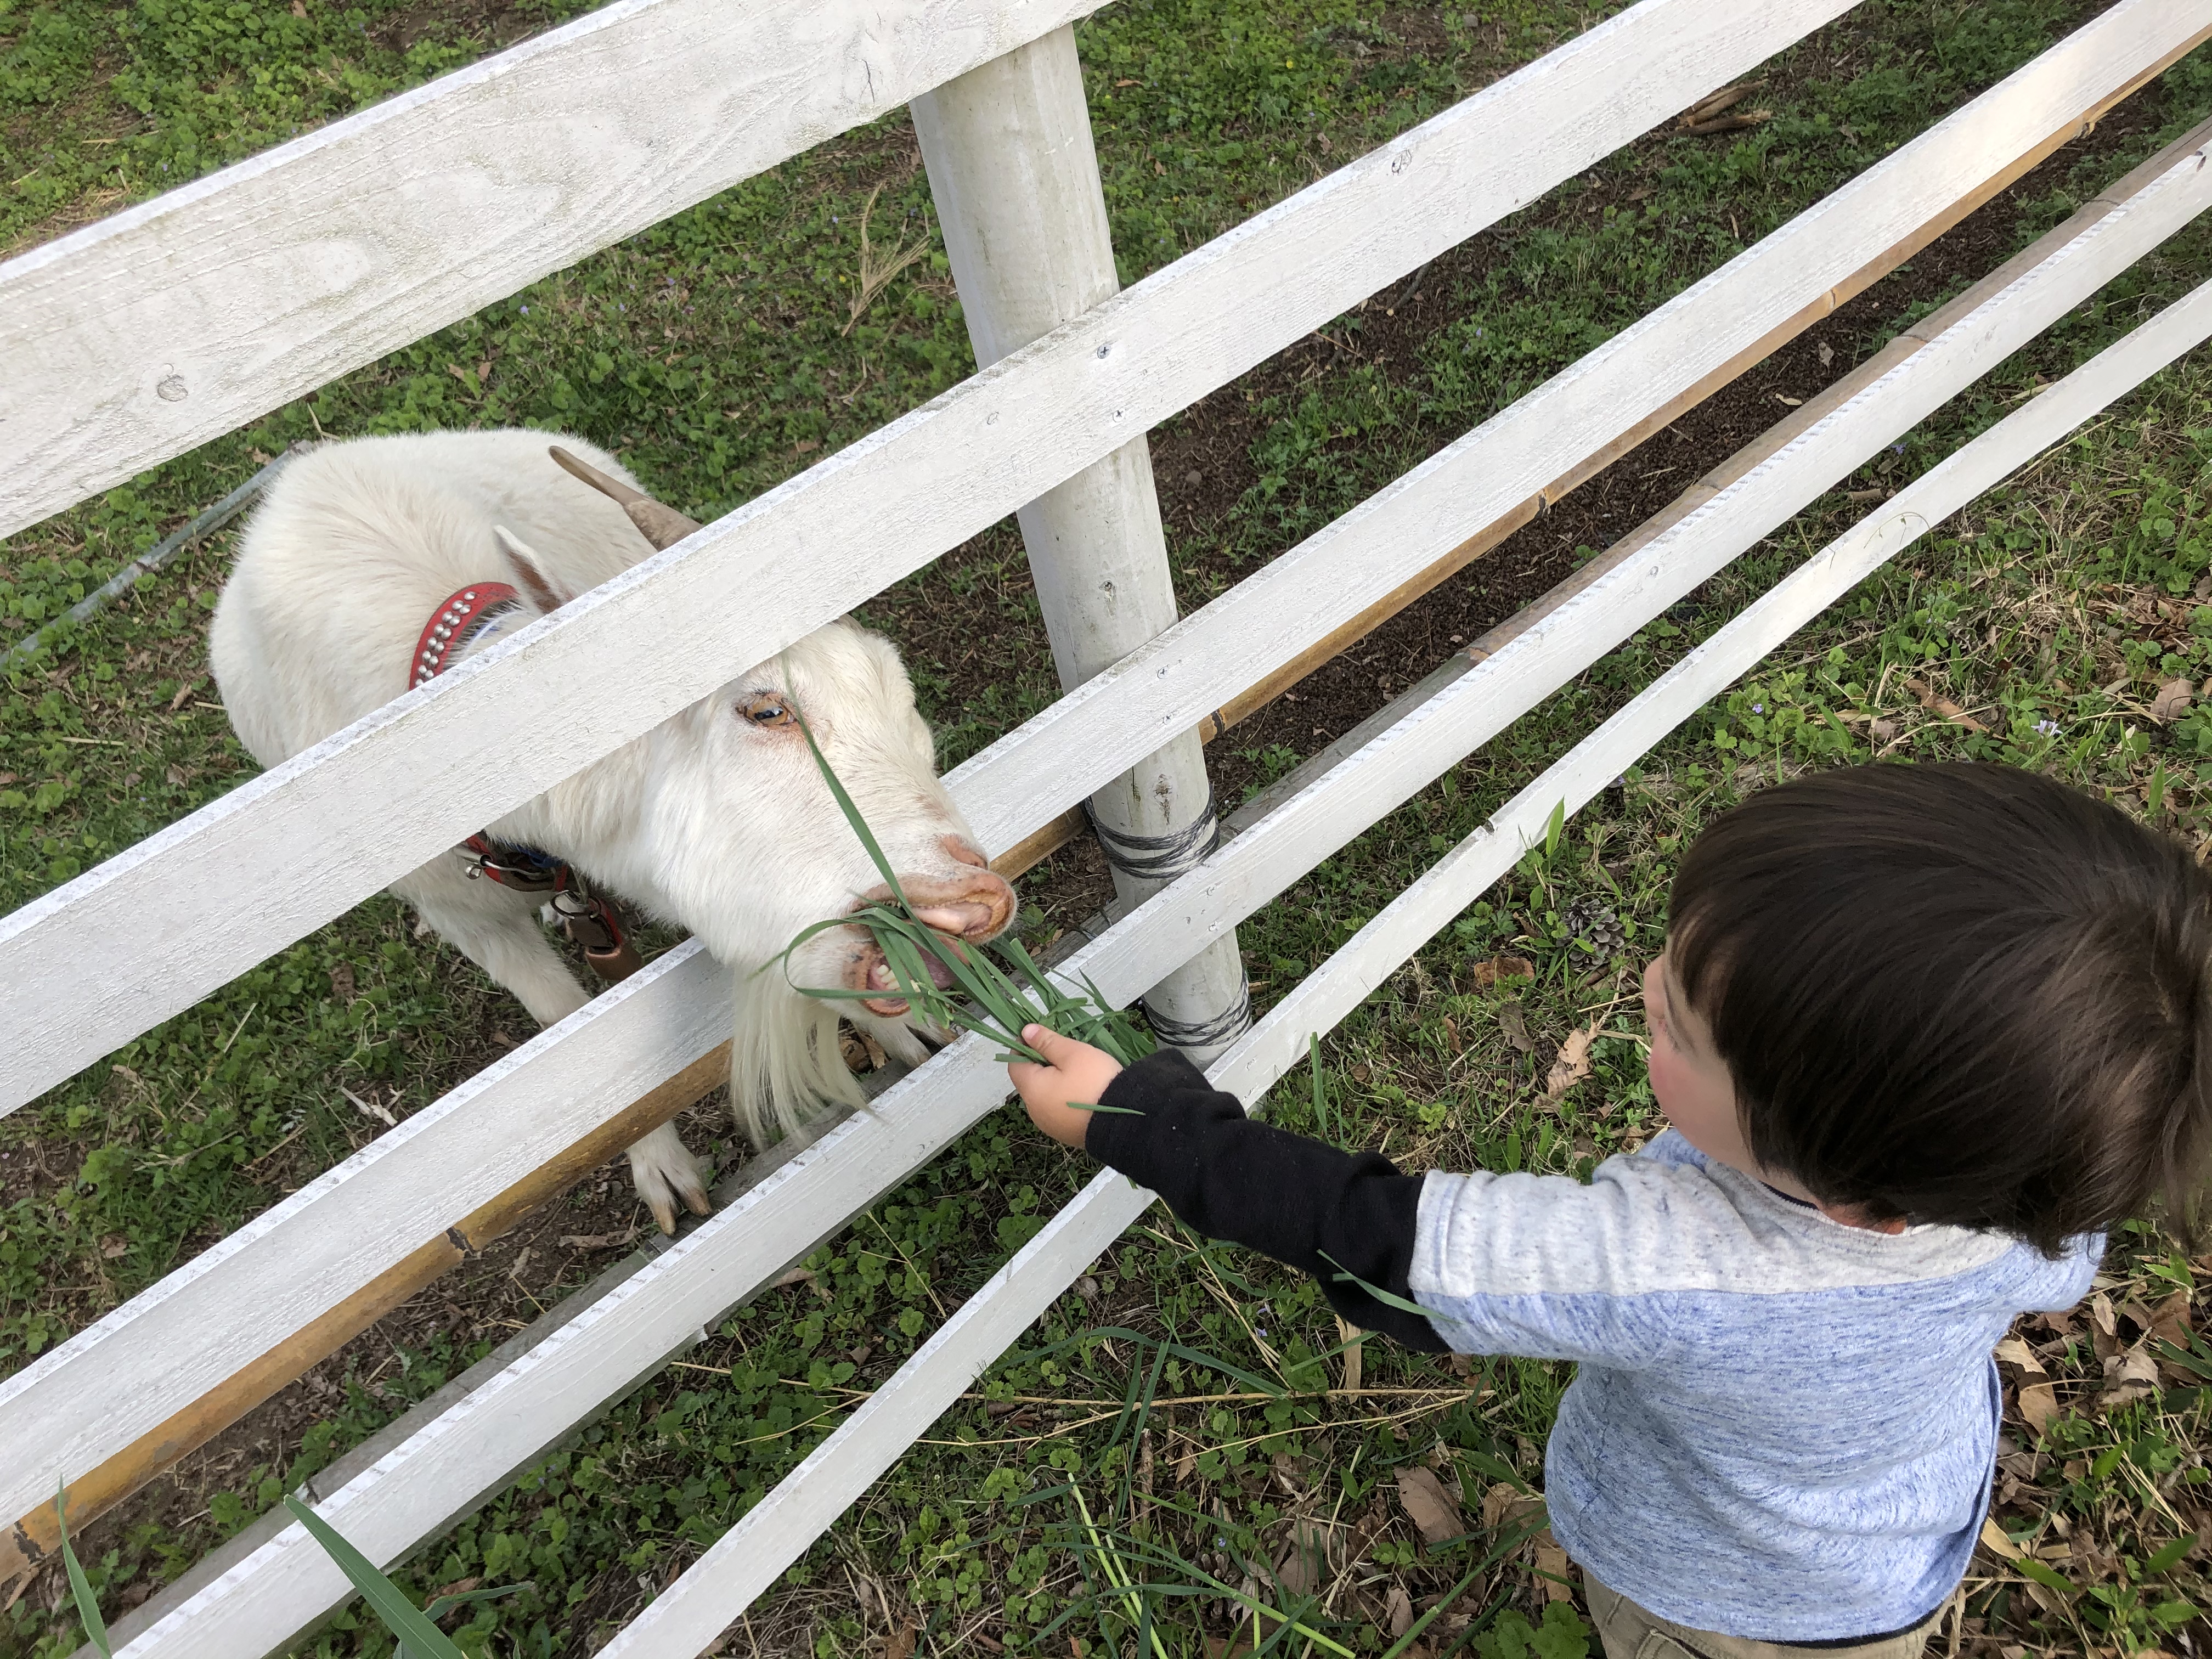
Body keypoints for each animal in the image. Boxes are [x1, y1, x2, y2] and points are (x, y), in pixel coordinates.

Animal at [211, 431, 1013, 1238]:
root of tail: (307, 466)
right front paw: (662, 1170)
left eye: (908, 712)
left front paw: (907, 1031)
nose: (979, 896)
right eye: (766, 710)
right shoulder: (463, 913)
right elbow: (580, 1049)